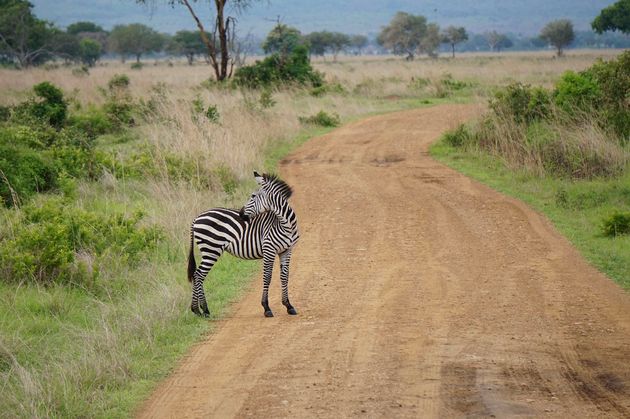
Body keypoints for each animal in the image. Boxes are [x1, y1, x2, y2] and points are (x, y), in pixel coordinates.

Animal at [188, 171, 302, 318]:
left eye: (253, 196)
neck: (286, 224)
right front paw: (266, 307)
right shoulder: (269, 250)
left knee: (198, 275)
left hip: (209, 250)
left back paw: (199, 310)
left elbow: (284, 277)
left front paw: (288, 305)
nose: (241, 214)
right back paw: (202, 310)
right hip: (211, 249)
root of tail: (197, 218)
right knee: (199, 275)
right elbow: (267, 277)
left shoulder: (286, 250)